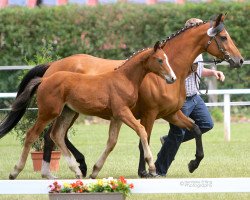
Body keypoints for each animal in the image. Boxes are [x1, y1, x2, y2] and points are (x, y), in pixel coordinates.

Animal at [4, 41, 176, 179]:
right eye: (160, 60)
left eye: (167, 58)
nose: (172, 78)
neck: (124, 78)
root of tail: (45, 79)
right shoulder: (122, 112)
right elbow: (141, 130)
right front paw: (152, 168)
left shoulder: (116, 117)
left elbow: (112, 142)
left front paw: (95, 170)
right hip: (48, 112)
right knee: (32, 135)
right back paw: (15, 171)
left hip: (67, 112)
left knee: (56, 135)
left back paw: (76, 171)